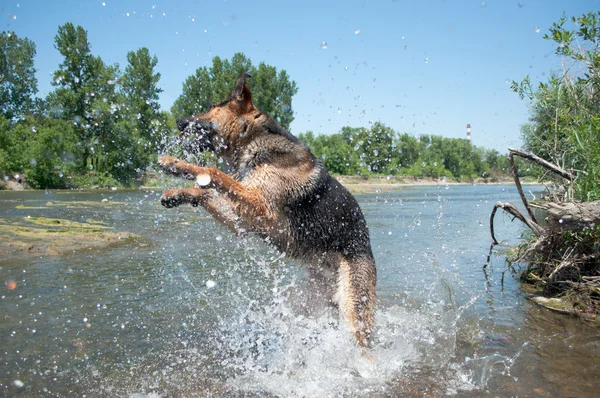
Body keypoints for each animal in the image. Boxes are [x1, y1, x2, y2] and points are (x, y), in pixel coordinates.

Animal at [159, 73, 376, 346]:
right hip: (306, 303)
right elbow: (206, 190)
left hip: (353, 308)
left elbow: (213, 172)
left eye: (211, 106)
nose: (178, 120)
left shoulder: (264, 211)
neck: (252, 141)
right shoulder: (244, 221)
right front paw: (175, 192)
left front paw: (174, 163)